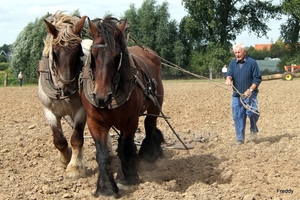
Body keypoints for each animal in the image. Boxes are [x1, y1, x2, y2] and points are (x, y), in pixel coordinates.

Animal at [38, 10, 87, 179]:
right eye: (55, 52)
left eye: (78, 51)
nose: (68, 87)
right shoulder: (49, 112)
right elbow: (59, 140)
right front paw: (65, 159)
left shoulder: (81, 111)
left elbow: (77, 138)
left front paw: (75, 167)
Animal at [81, 16, 165, 197]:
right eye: (93, 55)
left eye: (116, 56)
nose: (102, 97)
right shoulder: (94, 122)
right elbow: (103, 154)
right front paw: (106, 188)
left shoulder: (130, 121)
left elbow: (126, 148)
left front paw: (127, 178)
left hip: (155, 106)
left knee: (150, 125)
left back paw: (149, 153)